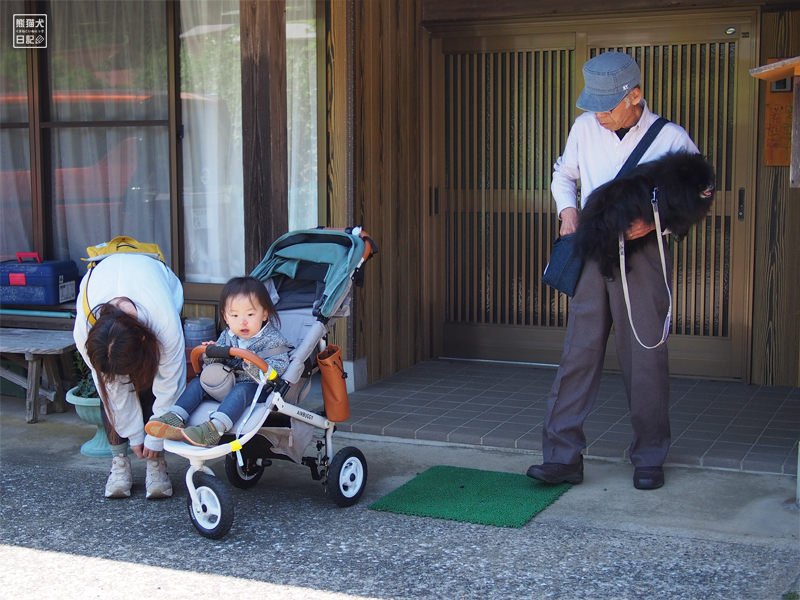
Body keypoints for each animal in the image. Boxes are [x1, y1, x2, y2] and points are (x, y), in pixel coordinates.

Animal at [576, 151, 712, 280]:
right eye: (699, 180)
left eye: (708, 176)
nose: (711, 185)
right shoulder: (671, 211)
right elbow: (680, 222)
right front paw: (679, 233)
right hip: (608, 236)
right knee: (602, 254)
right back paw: (607, 273)